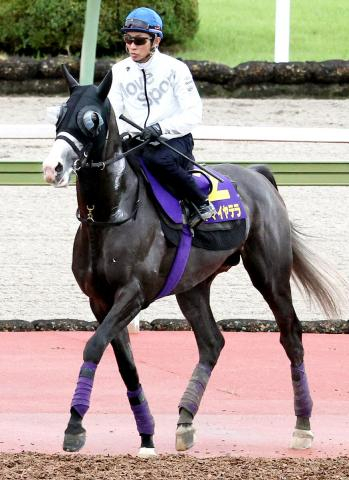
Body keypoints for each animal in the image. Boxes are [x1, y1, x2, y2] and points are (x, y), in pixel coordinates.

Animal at [42, 67, 338, 458]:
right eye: (59, 114)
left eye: (92, 119)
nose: (53, 167)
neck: (113, 214)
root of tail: (258, 175)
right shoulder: (100, 301)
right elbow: (125, 363)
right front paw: (146, 435)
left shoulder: (133, 295)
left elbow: (94, 345)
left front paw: (75, 426)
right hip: (193, 286)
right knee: (212, 342)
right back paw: (184, 420)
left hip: (270, 275)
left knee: (292, 335)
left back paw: (303, 425)